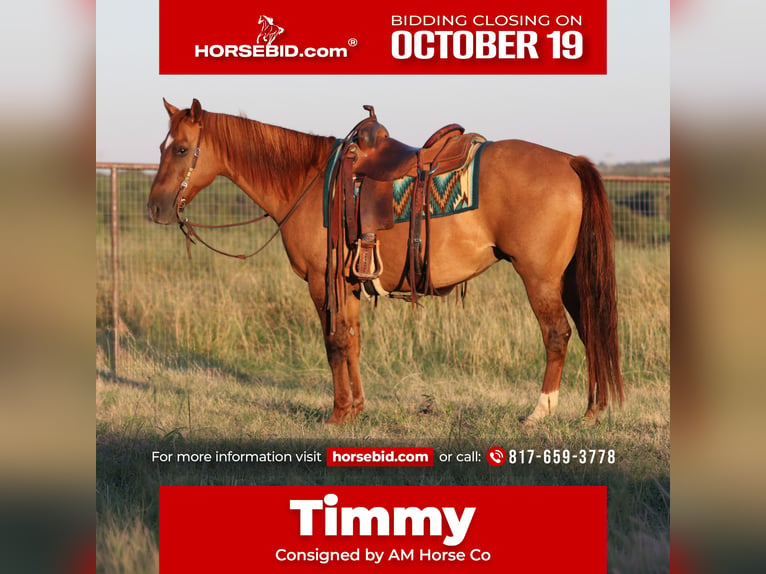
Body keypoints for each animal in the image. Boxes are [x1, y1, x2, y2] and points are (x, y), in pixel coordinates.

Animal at [147, 98, 623, 425]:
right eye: (162, 145)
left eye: (181, 149)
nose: (154, 208)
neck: (308, 181)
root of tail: (569, 161)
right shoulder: (349, 284)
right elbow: (353, 342)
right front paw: (357, 409)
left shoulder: (322, 283)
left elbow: (335, 342)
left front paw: (338, 414)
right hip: (569, 278)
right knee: (589, 329)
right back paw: (593, 411)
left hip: (539, 278)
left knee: (558, 335)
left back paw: (539, 413)